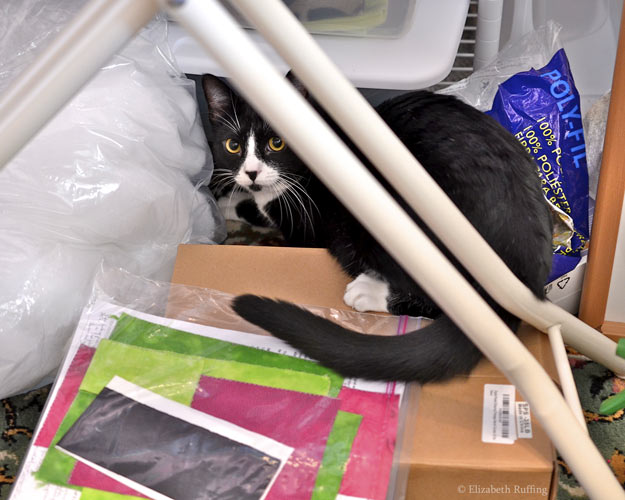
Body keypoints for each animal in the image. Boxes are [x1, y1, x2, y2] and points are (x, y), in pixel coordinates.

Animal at [201, 73, 552, 382]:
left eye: (277, 142)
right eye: (233, 146)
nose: (251, 173)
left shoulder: (305, 223)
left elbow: (267, 212)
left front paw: (232, 202)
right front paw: (230, 196)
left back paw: (368, 291)